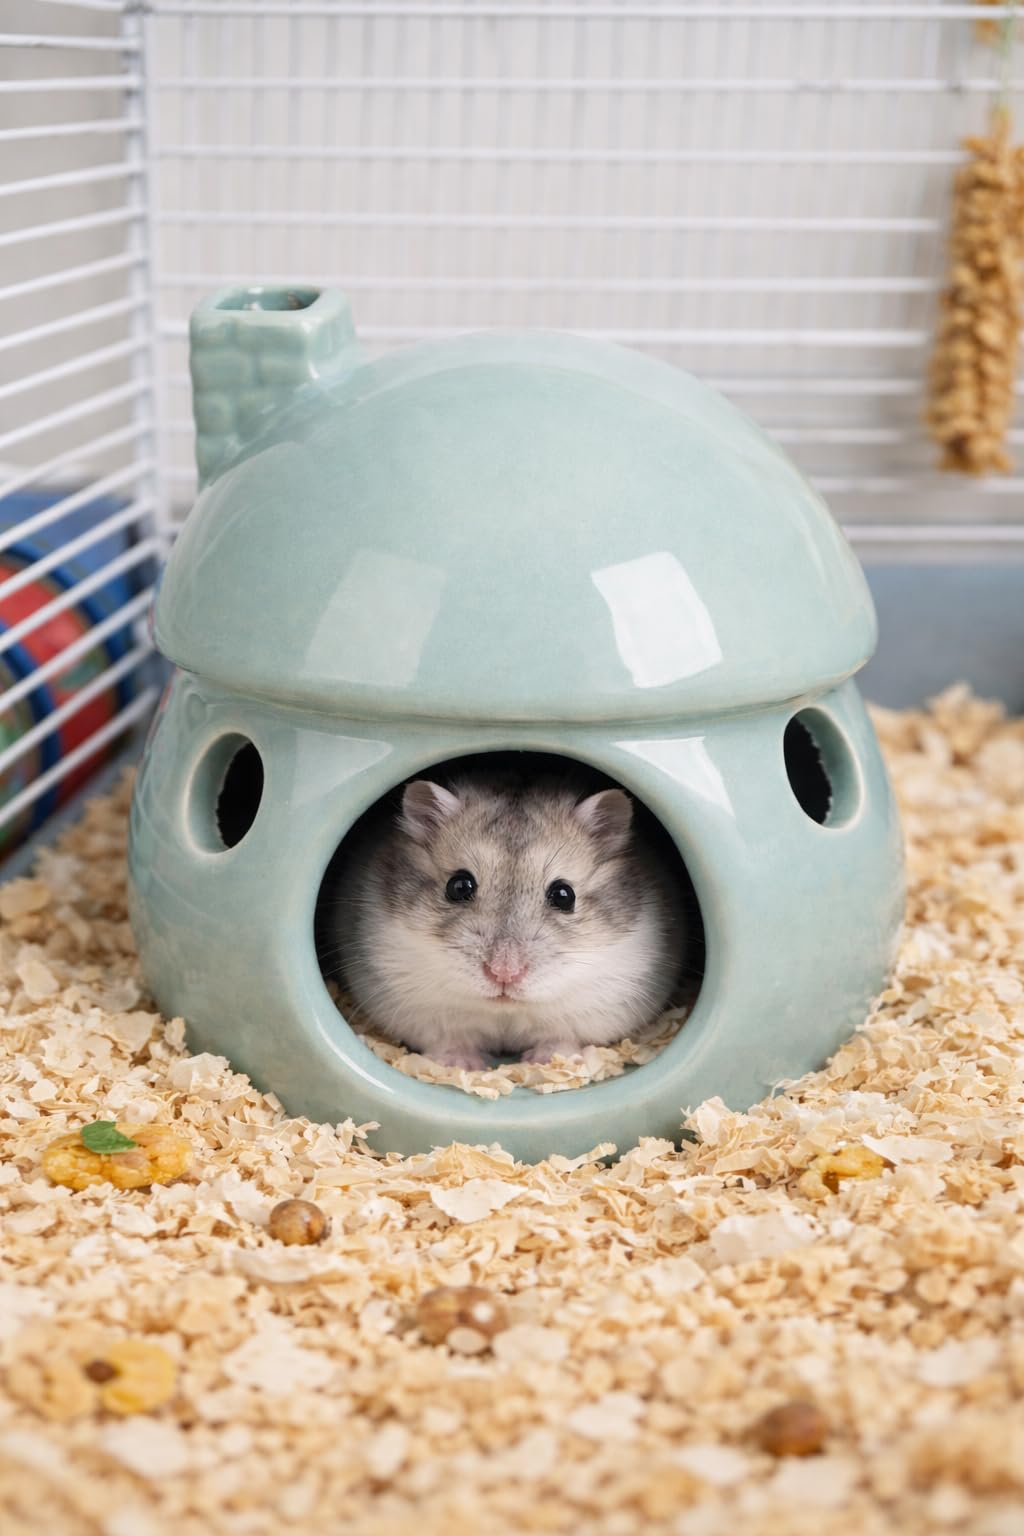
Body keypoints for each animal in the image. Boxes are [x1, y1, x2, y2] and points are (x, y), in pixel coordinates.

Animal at [319, 762, 688, 1070]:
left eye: (564, 895)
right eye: (459, 886)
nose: (504, 974)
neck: (506, 1010)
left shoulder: (604, 1001)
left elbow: (563, 1036)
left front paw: (543, 1061)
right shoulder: (415, 1003)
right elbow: (448, 1038)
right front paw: (461, 1066)